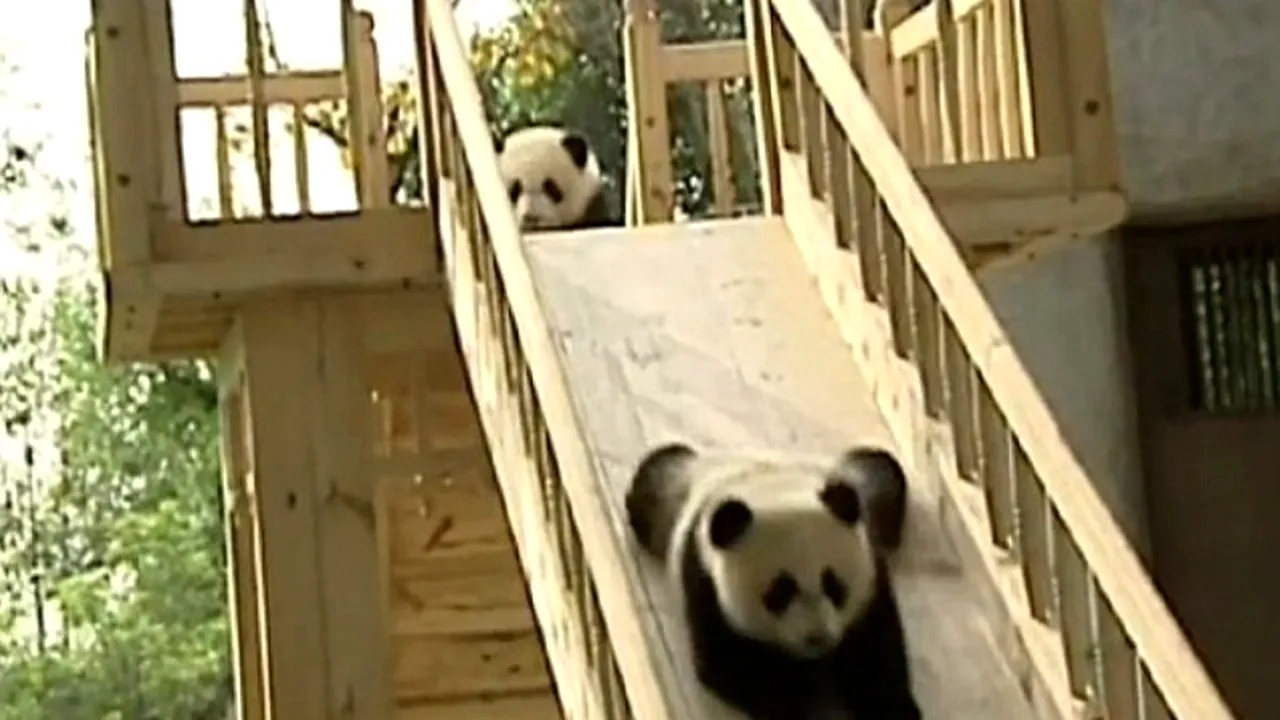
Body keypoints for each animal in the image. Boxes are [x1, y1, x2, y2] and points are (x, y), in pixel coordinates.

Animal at [624, 442, 920, 720]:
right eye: (780, 592)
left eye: (834, 585)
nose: (817, 638)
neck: (772, 489)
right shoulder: (704, 580)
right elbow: (734, 665)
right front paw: (807, 707)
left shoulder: (870, 572)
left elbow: (875, 656)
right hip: (668, 494)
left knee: (880, 468)